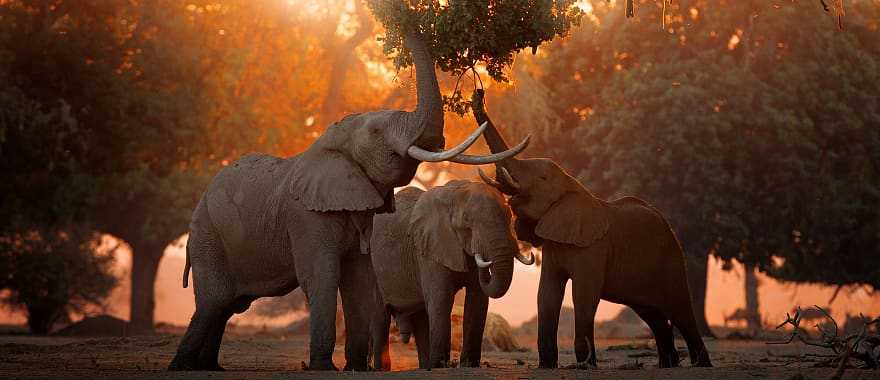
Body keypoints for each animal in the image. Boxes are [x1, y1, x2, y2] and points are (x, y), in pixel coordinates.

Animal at [368, 183, 532, 370]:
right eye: (467, 220)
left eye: (509, 215)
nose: (483, 257)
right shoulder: (430, 250)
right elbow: (442, 298)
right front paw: (441, 365)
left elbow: (477, 300)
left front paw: (469, 365)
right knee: (381, 317)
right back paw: (385, 369)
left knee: (420, 317)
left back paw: (426, 366)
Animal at [470, 90, 712, 370]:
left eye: (542, 178)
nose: (479, 94)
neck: (573, 185)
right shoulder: (555, 244)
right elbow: (547, 295)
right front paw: (547, 365)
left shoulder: (593, 247)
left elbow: (583, 294)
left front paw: (586, 365)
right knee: (653, 315)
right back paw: (668, 365)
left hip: (672, 260)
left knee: (681, 312)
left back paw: (701, 364)